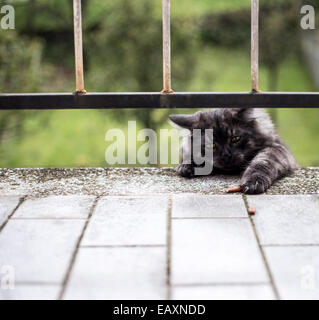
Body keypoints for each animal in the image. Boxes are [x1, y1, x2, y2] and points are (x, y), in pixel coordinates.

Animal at [170, 109, 300, 195]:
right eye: (211, 145)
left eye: (235, 138)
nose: (226, 156)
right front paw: (186, 166)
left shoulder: (277, 148)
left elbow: (263, 162)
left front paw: (254, 182)